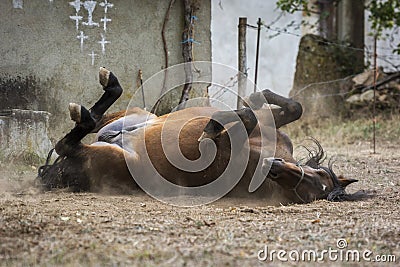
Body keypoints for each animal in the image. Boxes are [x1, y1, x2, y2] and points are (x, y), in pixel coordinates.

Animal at [36, 67, 356, 205]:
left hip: (105, 155)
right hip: (138, 115)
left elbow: (241, 118)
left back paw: (87, 111)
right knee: (98, 119)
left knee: (67, 143)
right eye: (317, 175)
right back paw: (103, 91)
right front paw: (254, 97)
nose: (274, 167)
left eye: (307, 192)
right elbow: (287, 108)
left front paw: (211, 127)